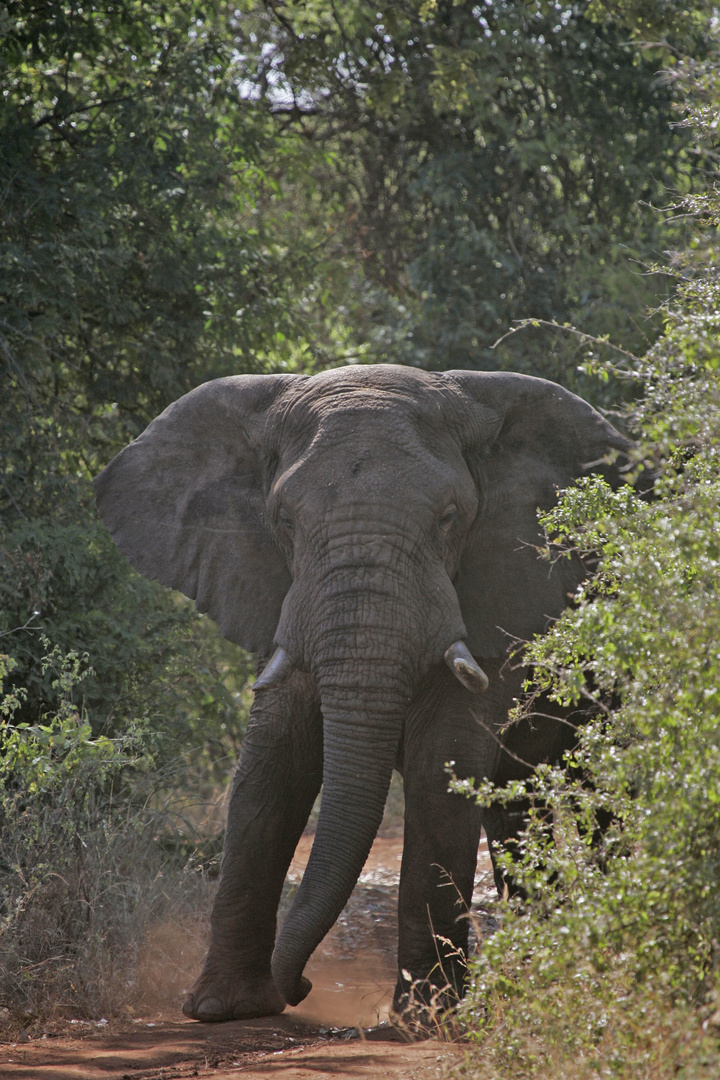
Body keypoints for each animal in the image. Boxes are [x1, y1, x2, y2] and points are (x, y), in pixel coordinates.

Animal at [94, 360, 630, 1019]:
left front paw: (419, 1019)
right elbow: (272, 763)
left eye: (450, 518)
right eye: (284, 521)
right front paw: (223, 1009)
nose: (298, 987)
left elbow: (442, 760)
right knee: (515, 809)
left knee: (605, 799)